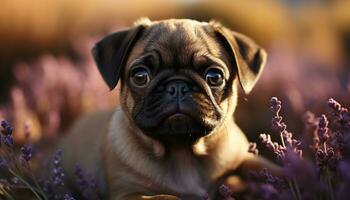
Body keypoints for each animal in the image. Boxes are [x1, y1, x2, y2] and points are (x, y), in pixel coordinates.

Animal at [60, 18, 278, 199]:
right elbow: (165, 196)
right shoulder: (128, 193)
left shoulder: (243, 159)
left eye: (214, 76)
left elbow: (267, 168)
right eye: (140, 76)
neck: (182, 151)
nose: (177, 86)